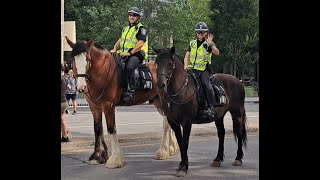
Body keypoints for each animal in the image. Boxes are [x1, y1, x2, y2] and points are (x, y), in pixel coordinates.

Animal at [64, 37, 178, 169]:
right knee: (169, 122)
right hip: (157, 102)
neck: (102, 72)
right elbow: (97, 129)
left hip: (163, 100)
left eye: (88, 59)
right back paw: (171, 147)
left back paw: (163, 151)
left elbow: (111, 129)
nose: (81, 87)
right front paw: (97, 156)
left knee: (166, 124)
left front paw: (115, 159)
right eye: (73, 60)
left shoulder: (108, 106)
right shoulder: (94, 107)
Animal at [154, 46, 248, 177]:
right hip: (219, 116)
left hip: (237, 113)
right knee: (221, 133)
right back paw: (217, 159)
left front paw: (184, 168)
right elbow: (180, 142)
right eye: (157, 62)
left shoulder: (187, 122)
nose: (160, 84)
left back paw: (238, 159)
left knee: (239, 133)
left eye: (170, 64)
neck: (181, 90)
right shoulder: (173, 122)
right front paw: (181, 165)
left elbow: (185, 142)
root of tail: (238, 81)